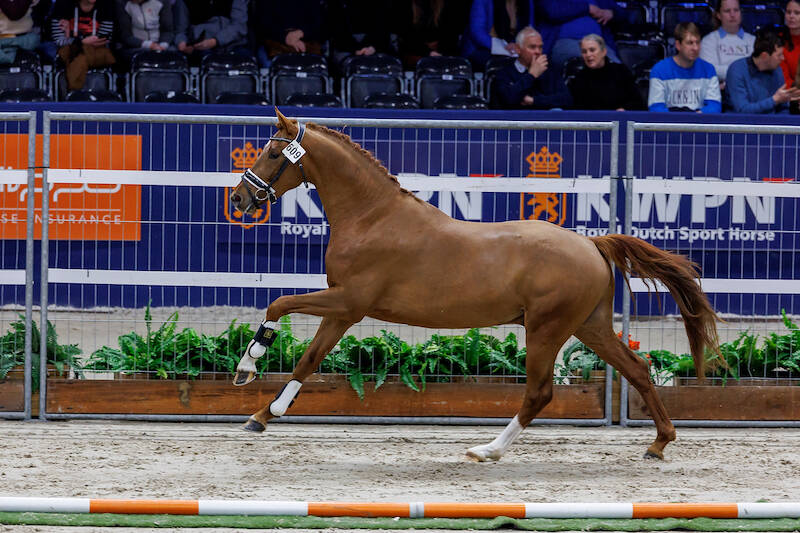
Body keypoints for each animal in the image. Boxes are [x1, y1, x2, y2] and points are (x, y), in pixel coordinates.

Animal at [228, 109, 721, 461]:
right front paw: (263, 415)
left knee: (540, 392)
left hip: (547, 329)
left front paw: (247, 367)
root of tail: (591, 244)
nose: (239, 198)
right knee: (637, 369)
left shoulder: (347, 300)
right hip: (590, 326)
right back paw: (659, 443)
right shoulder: (346, 311)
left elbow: (278, 305)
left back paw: (488, 450)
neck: (372, 217)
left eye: (273, 154)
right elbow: (309, 359)